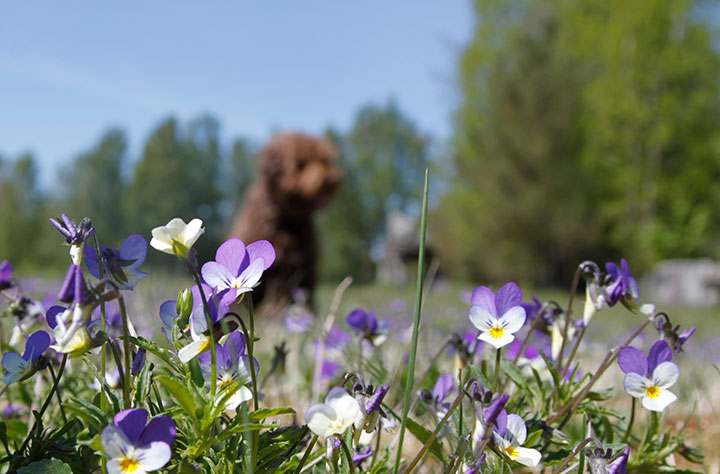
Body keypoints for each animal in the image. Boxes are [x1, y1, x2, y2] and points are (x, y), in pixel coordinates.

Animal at [231, 132, 344, 312]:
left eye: (326, 160)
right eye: (302, 163)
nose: (333, 179)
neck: (289, 221)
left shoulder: (304, 267)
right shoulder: (280, 267)